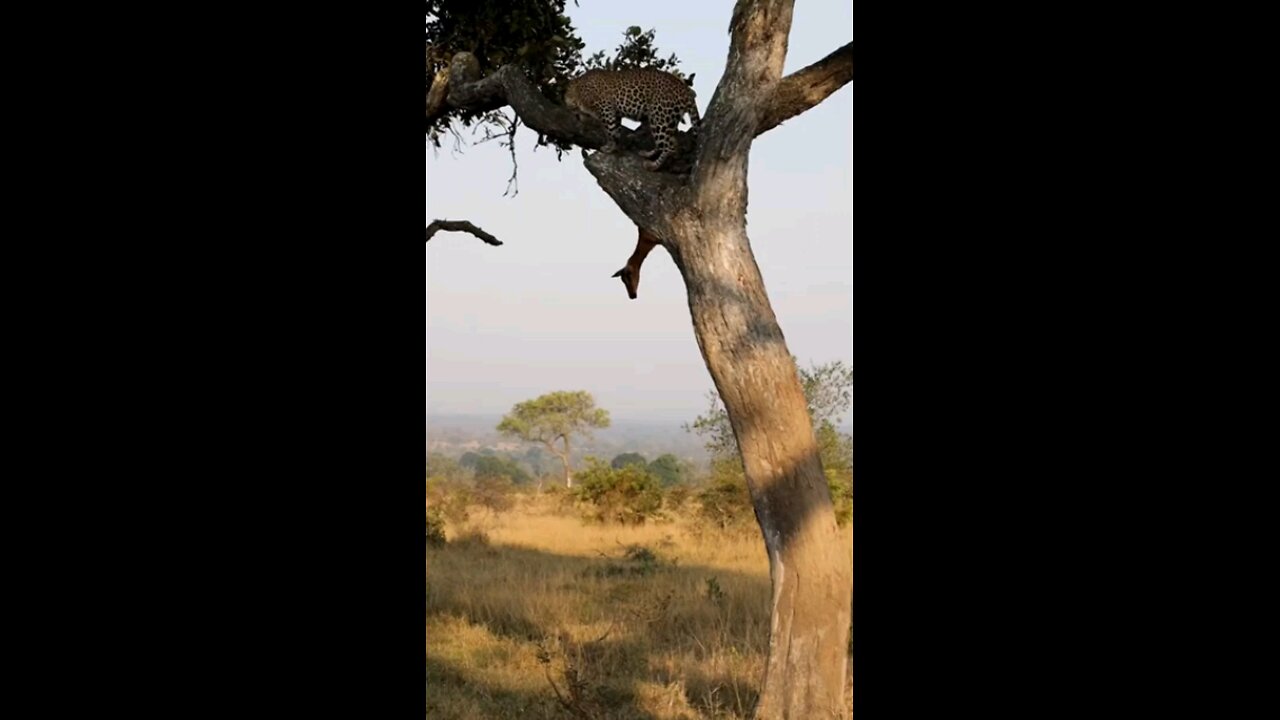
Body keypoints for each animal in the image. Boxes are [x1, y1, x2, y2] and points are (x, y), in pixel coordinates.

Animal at [563, 68, 701, 172]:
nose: (577, 118)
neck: (578, 90)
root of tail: (686, 90)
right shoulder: (615, 113)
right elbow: (616, 130)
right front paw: (615, 146)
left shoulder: (606, 108)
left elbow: (610, 130)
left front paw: (609, 147)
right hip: (666, 120)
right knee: (669, 142)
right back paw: (647, 154)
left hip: (659, 116)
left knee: (670, 147)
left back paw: (653, 166)